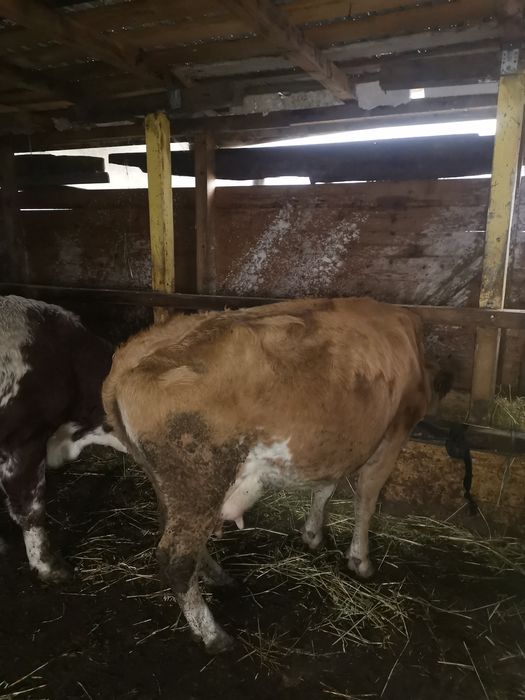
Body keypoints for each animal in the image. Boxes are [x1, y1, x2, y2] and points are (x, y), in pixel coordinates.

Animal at [102, 297, 450, 654]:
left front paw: (312, 534)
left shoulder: (335, 445)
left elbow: (324, 489)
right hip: (200, 480)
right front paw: (360, 560)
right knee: (176, 558)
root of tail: (128, 362)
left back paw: (218, 577)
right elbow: (365, 501)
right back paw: (213, 634)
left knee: (176, 534)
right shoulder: (395, 432)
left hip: (171, 485)